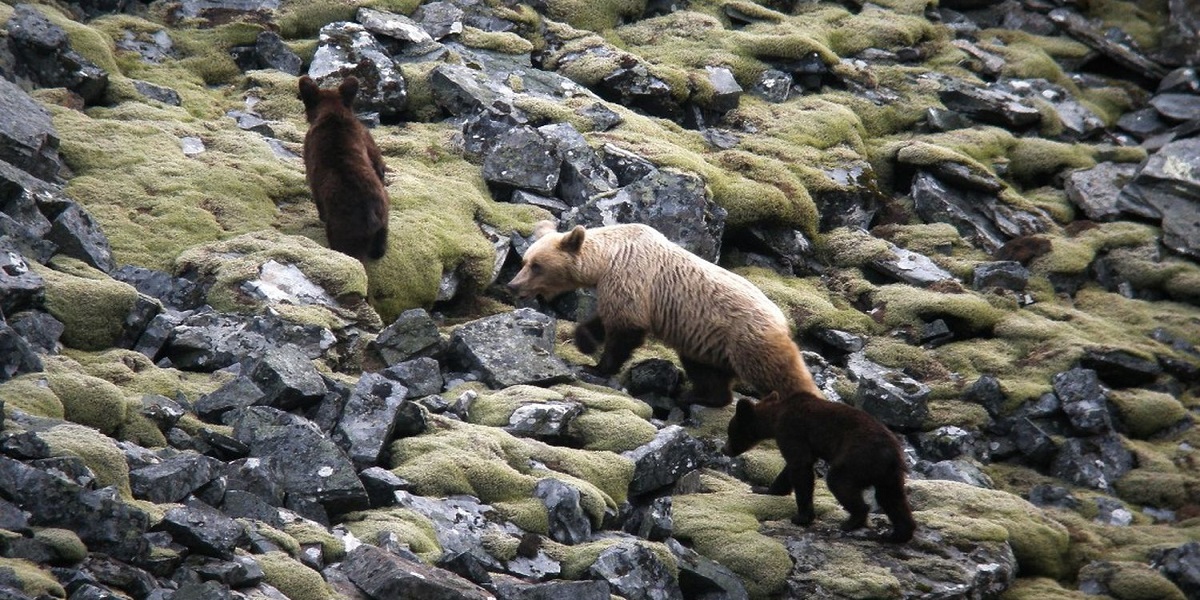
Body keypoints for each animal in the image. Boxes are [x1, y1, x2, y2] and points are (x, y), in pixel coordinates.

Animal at [298, 75, 389, 261]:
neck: (332, 113)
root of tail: (371, 215)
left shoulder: (309, 157)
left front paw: (321, 216)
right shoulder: (366, 137)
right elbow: (378, 162)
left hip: (344, 228)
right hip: (384, 219)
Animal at [506, 221, 821, 406]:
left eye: (537, 266)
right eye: (525, 261)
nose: (513, 285)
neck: (607, 259)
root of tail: (782, 318)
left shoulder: (632, 276)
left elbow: (626, 328)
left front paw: (598, 366)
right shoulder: (619, 286)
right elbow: (606, 318)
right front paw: (585, 341)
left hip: (748, 339)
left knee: (777, 373)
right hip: (706, 341)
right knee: (707, 372)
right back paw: (696, 396)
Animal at [723, 389, 916, 543]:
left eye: (730, 431)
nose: (725, 449)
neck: (776, 417)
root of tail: (894, 454)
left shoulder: (792, 430)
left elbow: (800, 466)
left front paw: (802, 517)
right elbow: (790, 468)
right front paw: (764, 489)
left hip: (858, 457)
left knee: (839, 482)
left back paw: (852, 521)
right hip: (888, 475)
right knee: (892, 498)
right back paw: (897, 534)